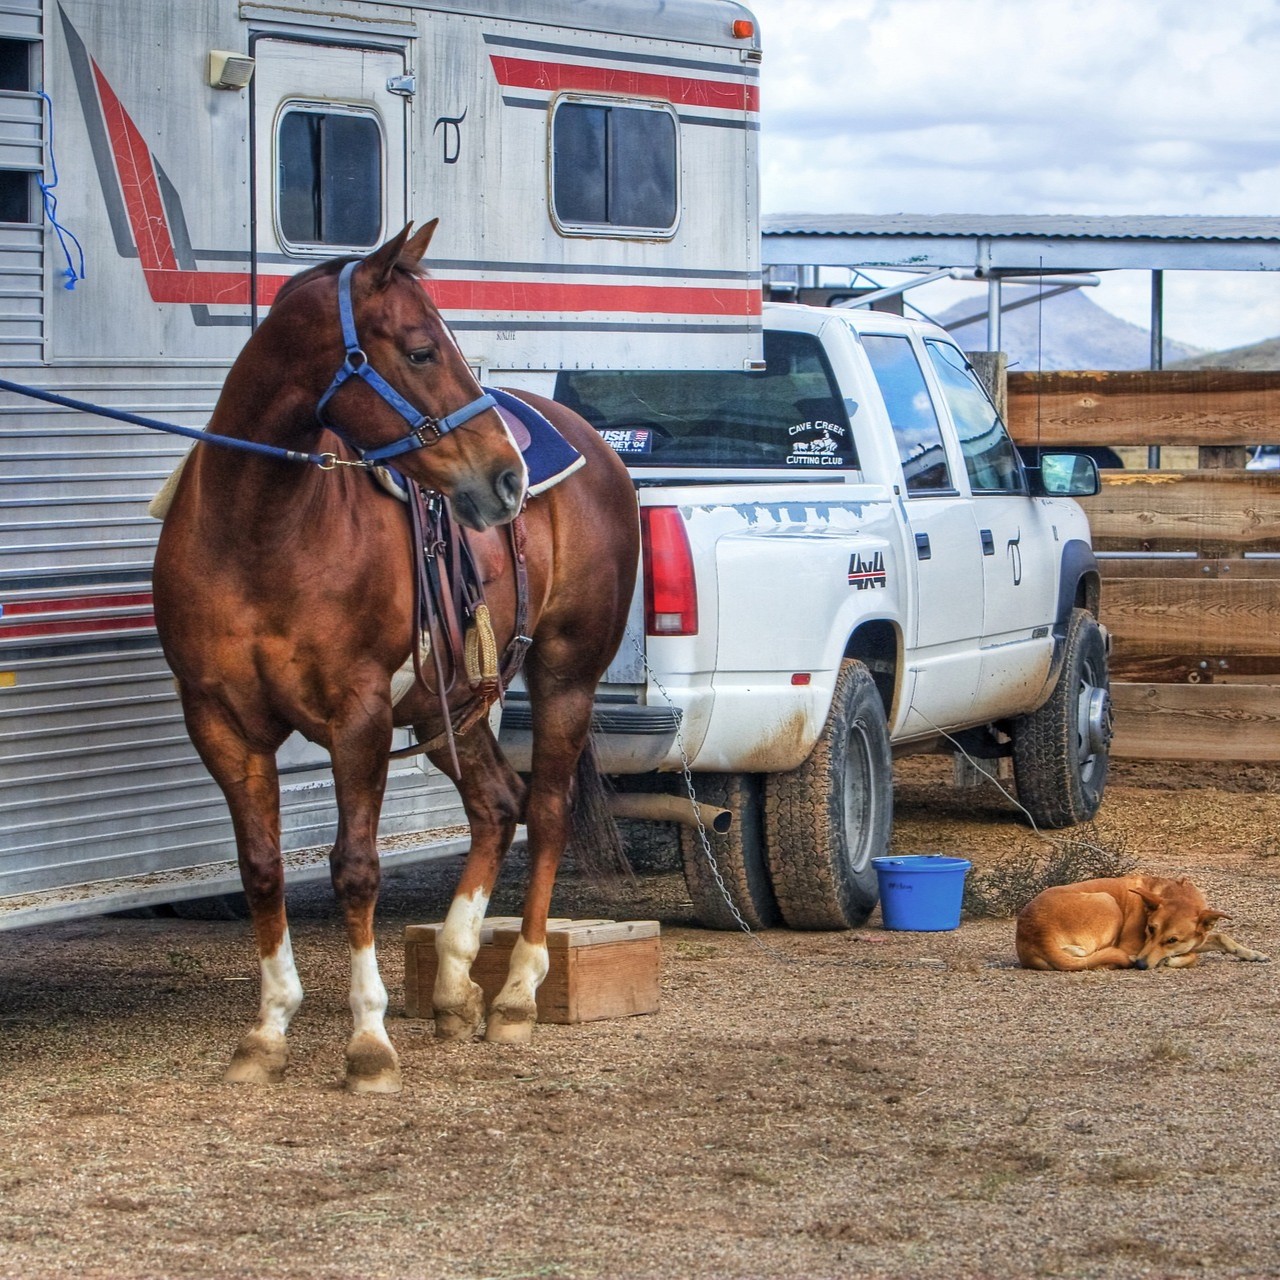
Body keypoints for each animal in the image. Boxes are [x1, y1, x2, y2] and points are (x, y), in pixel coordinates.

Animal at [152, 221, 639, 1093]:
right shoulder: (219, 719)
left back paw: (516, 994)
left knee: (545, 811)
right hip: (454, 706)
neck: (259, 531)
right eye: (419, 349)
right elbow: (262, 865)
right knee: (497, 805)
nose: (506, 478)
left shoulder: (359, 714)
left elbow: (356, 867)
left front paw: (369, 1041)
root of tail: (596, 447)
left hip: (564, 677)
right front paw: (268, 1031)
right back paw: (451, 987)